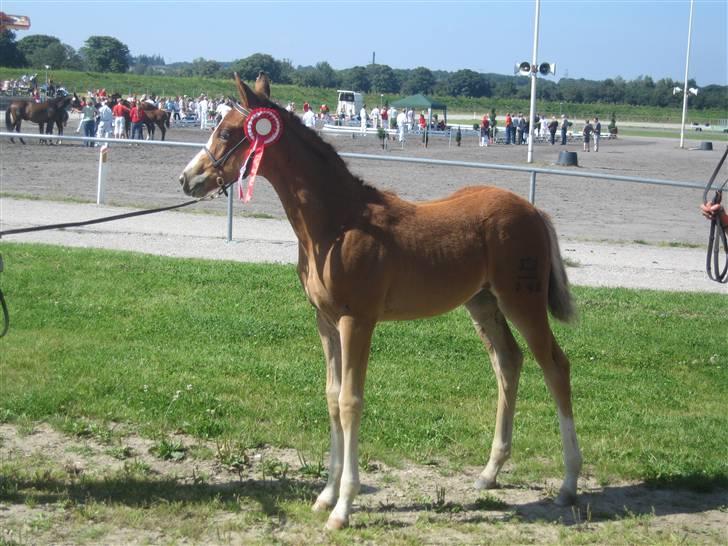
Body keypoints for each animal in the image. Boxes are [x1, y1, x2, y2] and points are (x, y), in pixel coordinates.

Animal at [179, 72, 584, 528]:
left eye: (227, 132)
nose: (187, 179)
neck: (337, 224)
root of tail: (534, 212)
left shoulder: (357, 320)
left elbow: (350, 401)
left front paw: (343, 507)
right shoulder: (325, 321)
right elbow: (331, 396)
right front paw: (325, 494)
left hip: (522, 301)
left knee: (555, 367)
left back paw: (568, 484)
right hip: (482, 303)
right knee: (508, 362)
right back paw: (489, 472)